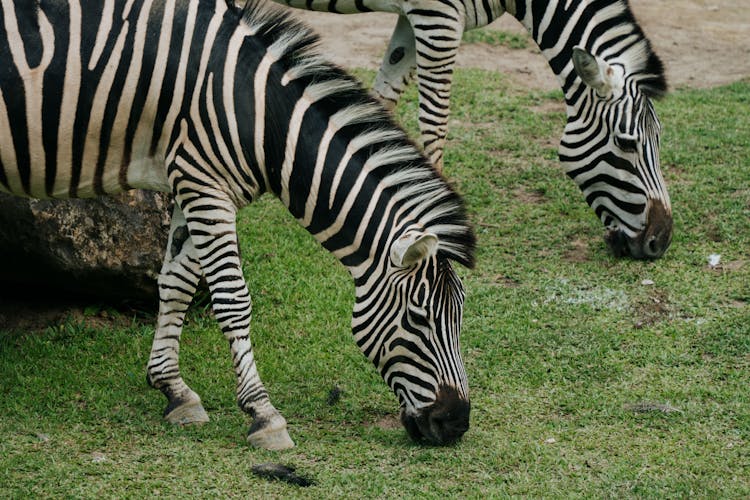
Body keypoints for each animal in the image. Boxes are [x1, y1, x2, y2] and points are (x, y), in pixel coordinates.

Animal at [0, 0, 478, 450]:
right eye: (418, 318)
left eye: (459, 315)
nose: (456, 423)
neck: (259, 115)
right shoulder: (205, 185)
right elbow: (233, 300)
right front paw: (264, 415)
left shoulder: (192, 182)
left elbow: (176, 281)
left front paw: (173, 389)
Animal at [274, 0, 676, 260]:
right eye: (627, 143)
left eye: (660, 140)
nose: (661, 242)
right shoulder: (437, 18)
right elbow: (435, 120)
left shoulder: (414, 18)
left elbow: (380, 101)